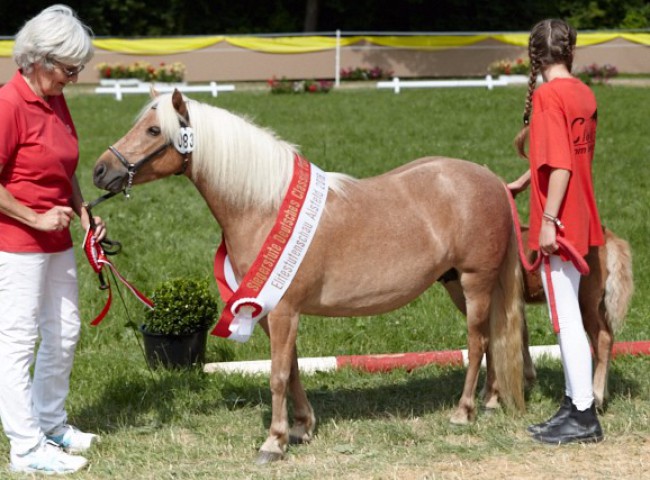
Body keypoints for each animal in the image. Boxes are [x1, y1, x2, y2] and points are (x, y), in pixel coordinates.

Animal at [92, 90, 525, 463]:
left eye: (153, 131)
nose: (99, 170)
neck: (262, 206)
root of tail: (491, 179)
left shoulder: (284, 310)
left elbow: (278, 374)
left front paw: (273, 442)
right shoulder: (270, 310)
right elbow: (294, 368)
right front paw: (301, 428)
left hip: (474, 281)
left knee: (477, 339)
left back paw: (463, 412)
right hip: (456, 285)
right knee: (490, 338)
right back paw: (489, 402)